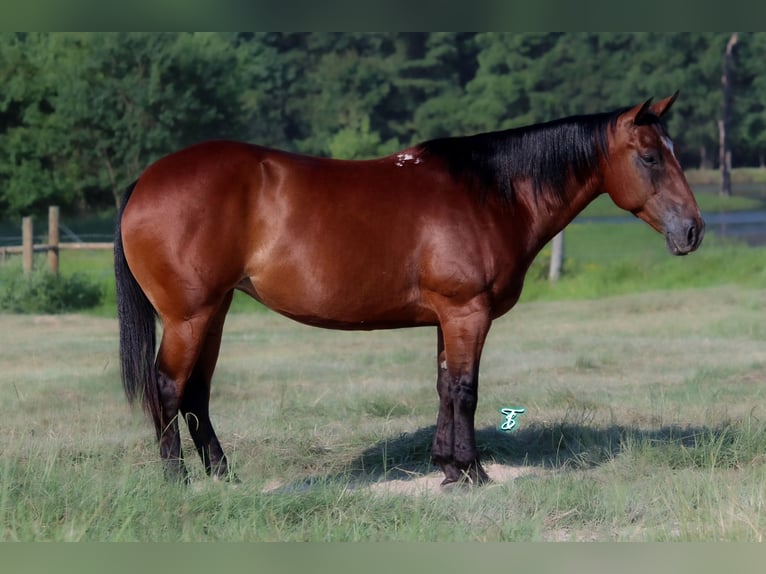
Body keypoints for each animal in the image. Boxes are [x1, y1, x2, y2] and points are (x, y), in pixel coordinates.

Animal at [115, 93, 708, 486]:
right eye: (651, 156)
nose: (693, 231)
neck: (487, 194)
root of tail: (146, 180)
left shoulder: (449, 317)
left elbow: (444, 386)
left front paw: (447, 467)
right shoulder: (468, 312)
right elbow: (466, 390)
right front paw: (472, 473)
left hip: (214, 313)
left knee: (196, 392)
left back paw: (223, 476)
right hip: (190, 316)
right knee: (168, 386)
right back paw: (178, 483)